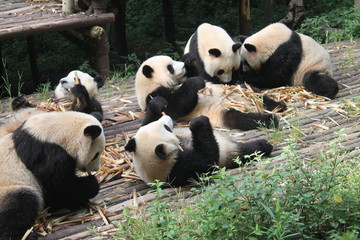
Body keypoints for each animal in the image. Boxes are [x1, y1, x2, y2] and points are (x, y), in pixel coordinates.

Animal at [0, 111, 105, 239]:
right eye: (96, 155)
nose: (96, 169)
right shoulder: (46, 154)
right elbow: (60, 186)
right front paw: (92, 184)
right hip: (9, 188)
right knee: (19, 208)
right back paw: (23, 235)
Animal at [124, 96, 272, 187]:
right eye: (166, 128)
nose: (169, 119)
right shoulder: (180, 168)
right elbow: (207, 160)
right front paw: (198, 122)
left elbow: (145, 122)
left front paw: (158, 103)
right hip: (230, 153)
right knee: (245, 151)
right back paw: (264, 145)